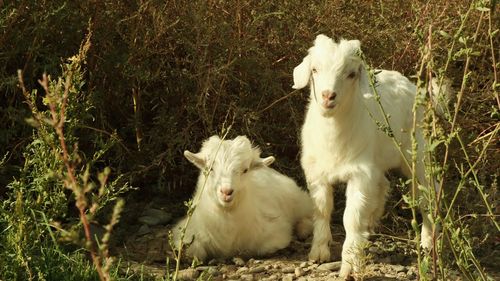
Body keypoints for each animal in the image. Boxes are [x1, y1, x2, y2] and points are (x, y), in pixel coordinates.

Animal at [172, 135, 312, 260]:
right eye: (210, 169)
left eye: (245, 170)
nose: (226, 192)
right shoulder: (184, 233)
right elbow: (194, 252)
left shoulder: (277, 232)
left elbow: (263, 248)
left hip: (299, 201)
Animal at [292, 34, 444, 276]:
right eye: (314, 69)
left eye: (351, 74)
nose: (328, 96)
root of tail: (414, 88)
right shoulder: (317, 172)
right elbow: (322, 210)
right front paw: (319, 252)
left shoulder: (360, 174)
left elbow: (351, 218)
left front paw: (348, 264)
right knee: (383, 185)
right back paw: (371, 224)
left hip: (418, 154)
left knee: (427, 193)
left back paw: (429, 242)